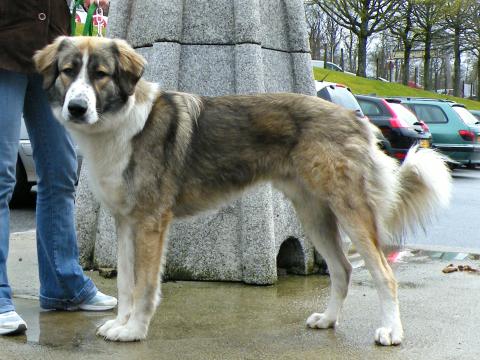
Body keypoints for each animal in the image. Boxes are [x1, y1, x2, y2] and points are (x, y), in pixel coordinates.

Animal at [33, 38, 450, 344]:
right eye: (68, 71)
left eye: (100, 74)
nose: (76, 108)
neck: (122, 123)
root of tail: (355, 117)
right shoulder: (124, 222)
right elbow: (124, 282)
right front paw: (121, 323)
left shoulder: (151, 223)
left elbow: (145, 286)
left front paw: (134, 330)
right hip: (313, 215)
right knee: (343, 269)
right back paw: (328, 320)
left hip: (351, 213)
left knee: (383, 274)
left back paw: (391, 331)